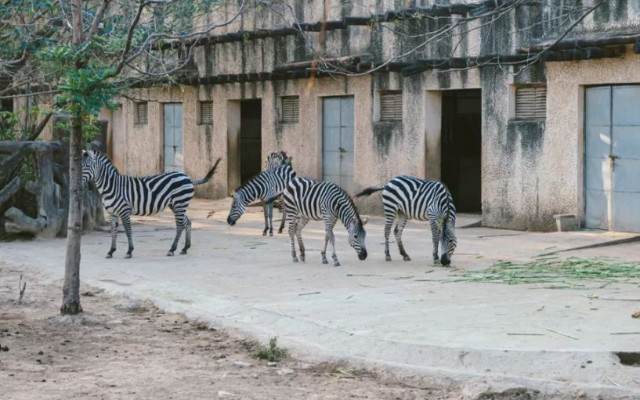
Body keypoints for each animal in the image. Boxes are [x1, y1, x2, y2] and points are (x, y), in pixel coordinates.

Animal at [81, 148, 221, 258]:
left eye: (86, 166)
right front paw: (111, 251)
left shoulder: (124, 210)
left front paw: (129, 251)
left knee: (180, 225)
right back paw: (185, 248)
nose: (79, 181)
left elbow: (128, 230)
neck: (112, 186)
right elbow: (113, 231)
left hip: (180, 203)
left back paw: (172, 249)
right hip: (176, 205)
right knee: (187, 222)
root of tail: (187, 177)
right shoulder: (112, 213)